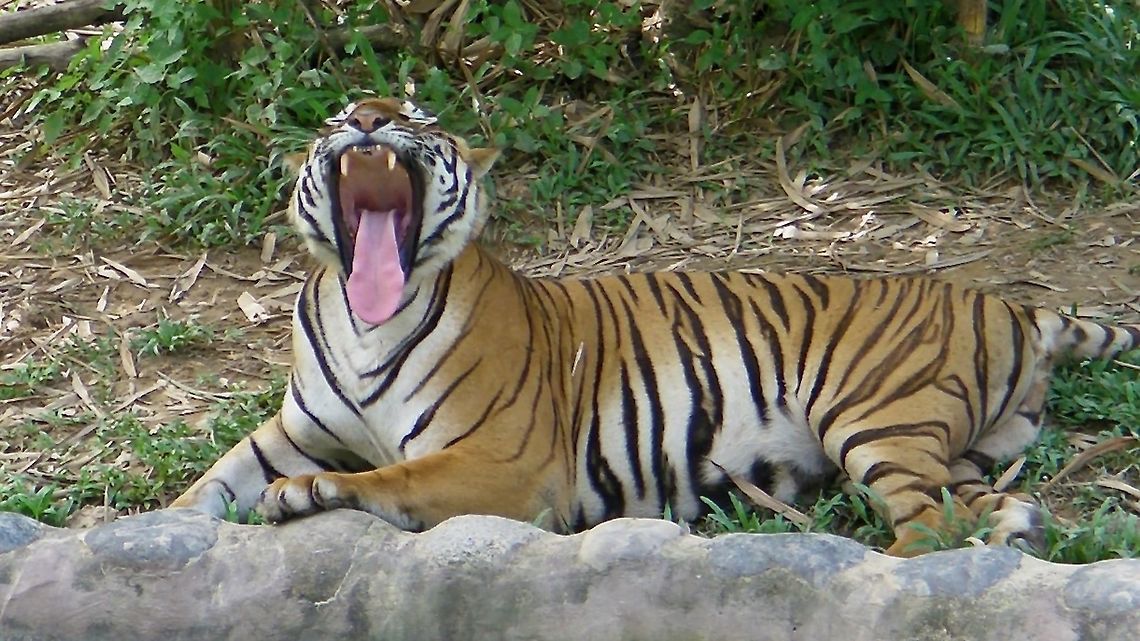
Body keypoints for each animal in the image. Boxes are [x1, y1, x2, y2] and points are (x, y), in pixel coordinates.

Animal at [171, 96, 1140, 557]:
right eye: (339, 120)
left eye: (416, 119)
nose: (369, 120)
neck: (363, 316)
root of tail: (1008, 301)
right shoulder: (290, 429)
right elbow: (208, 485)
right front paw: (157, 527)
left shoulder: (511, 459)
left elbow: (395, 475)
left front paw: (310, 494)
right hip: (951, 448)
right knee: (992, 510)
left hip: (872, 415)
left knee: (929, 527)